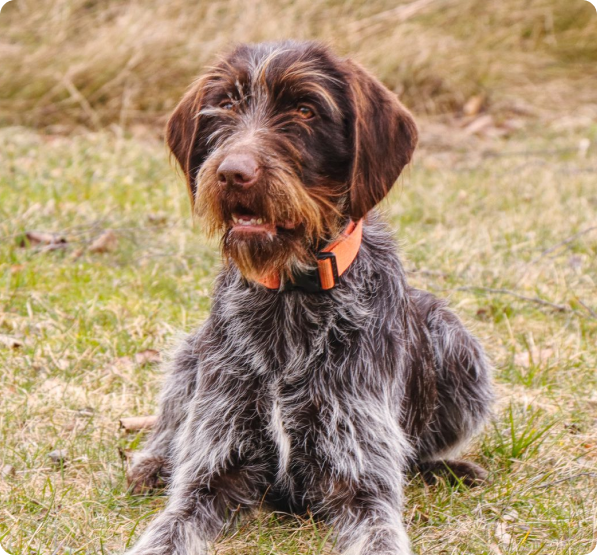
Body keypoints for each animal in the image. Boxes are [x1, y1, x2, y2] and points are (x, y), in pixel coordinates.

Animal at [123, 40, 492, 555]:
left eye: (305, 109)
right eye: (226, 104)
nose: (232, 172)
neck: (290, 296)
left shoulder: (361, 482)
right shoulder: (211, 470)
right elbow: (172, 523)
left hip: (459, 345)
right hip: (192, 352)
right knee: (170, 420)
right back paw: (154, 462)